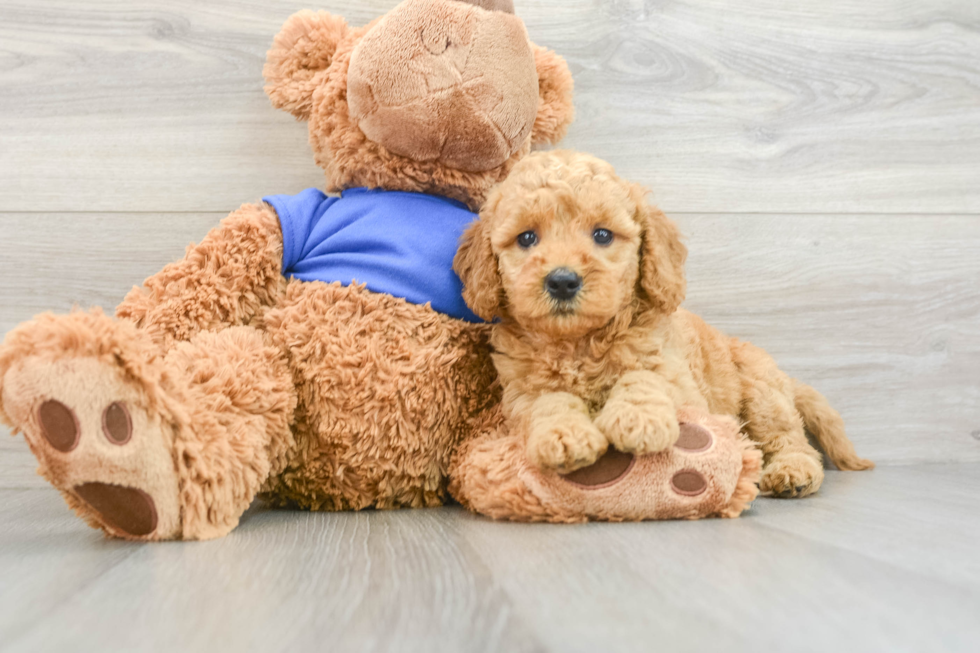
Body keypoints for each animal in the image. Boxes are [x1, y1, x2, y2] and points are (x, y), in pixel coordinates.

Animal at [452, 150, 872, 496]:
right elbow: (549, 400)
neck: (580, 343)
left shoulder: (680, 381)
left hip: (762, 393)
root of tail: (786, 380)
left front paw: (638, 418)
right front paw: (564, 434)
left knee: (788, 437)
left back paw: (793, 472)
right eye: (526, 238)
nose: (562, 281)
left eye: (602, 235)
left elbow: (644, 376)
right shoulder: (519, 393)